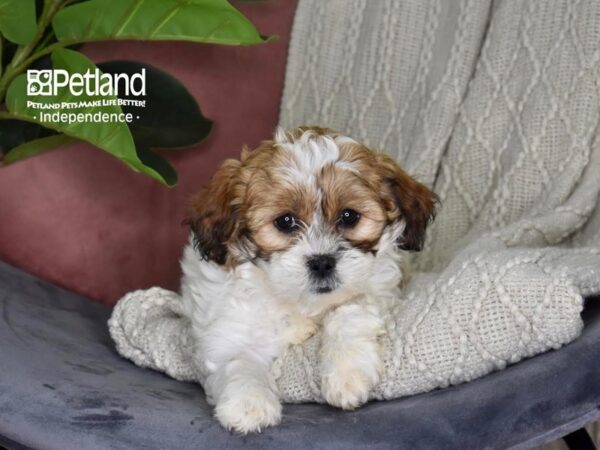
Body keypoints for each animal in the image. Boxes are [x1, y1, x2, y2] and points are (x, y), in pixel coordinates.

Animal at [178, 125, 436, 432]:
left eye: (349, 216)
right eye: (285, 221)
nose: (322, 262)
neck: (301, 303)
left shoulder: (381, 286)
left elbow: (350, 310)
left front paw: (347, 373)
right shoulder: (230, 324)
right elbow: (238, 358)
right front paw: (248, 403)